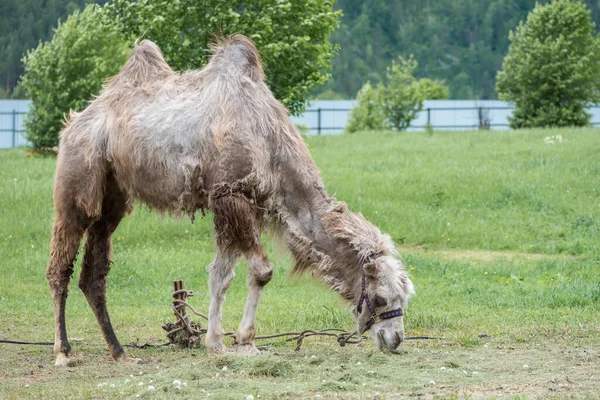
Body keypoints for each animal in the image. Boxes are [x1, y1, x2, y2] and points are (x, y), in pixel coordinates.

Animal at [47, 36, 414, 368]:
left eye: (404, 297)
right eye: (380, 297)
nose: (395, 339)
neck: (268, 139)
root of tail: (73, 123)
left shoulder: (238, 203)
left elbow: (220, 275)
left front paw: (215, 343)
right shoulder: (230, 194)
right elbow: (261, 271)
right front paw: (246, 342)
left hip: (113, 197)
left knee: (93, 274)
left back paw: (119, 352)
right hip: (75, 181)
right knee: (60, 266)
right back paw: (63, 352)